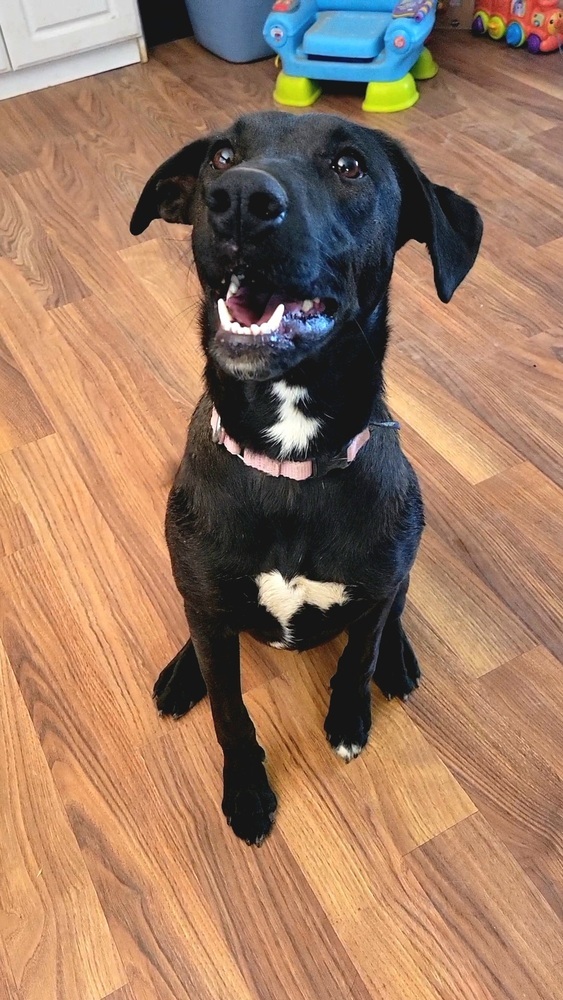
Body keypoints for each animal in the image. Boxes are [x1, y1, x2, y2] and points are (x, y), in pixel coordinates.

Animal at [130, 111, 482, 844]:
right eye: (220, 155)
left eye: (349, 166)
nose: (238, 198)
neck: (291, 460)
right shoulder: (209, 605)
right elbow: (230, 713)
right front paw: (246, 791)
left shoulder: (374, 587)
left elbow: (357, 656)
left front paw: (349, 718)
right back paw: (182, 673)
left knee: (395, 609)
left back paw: (397, 661)